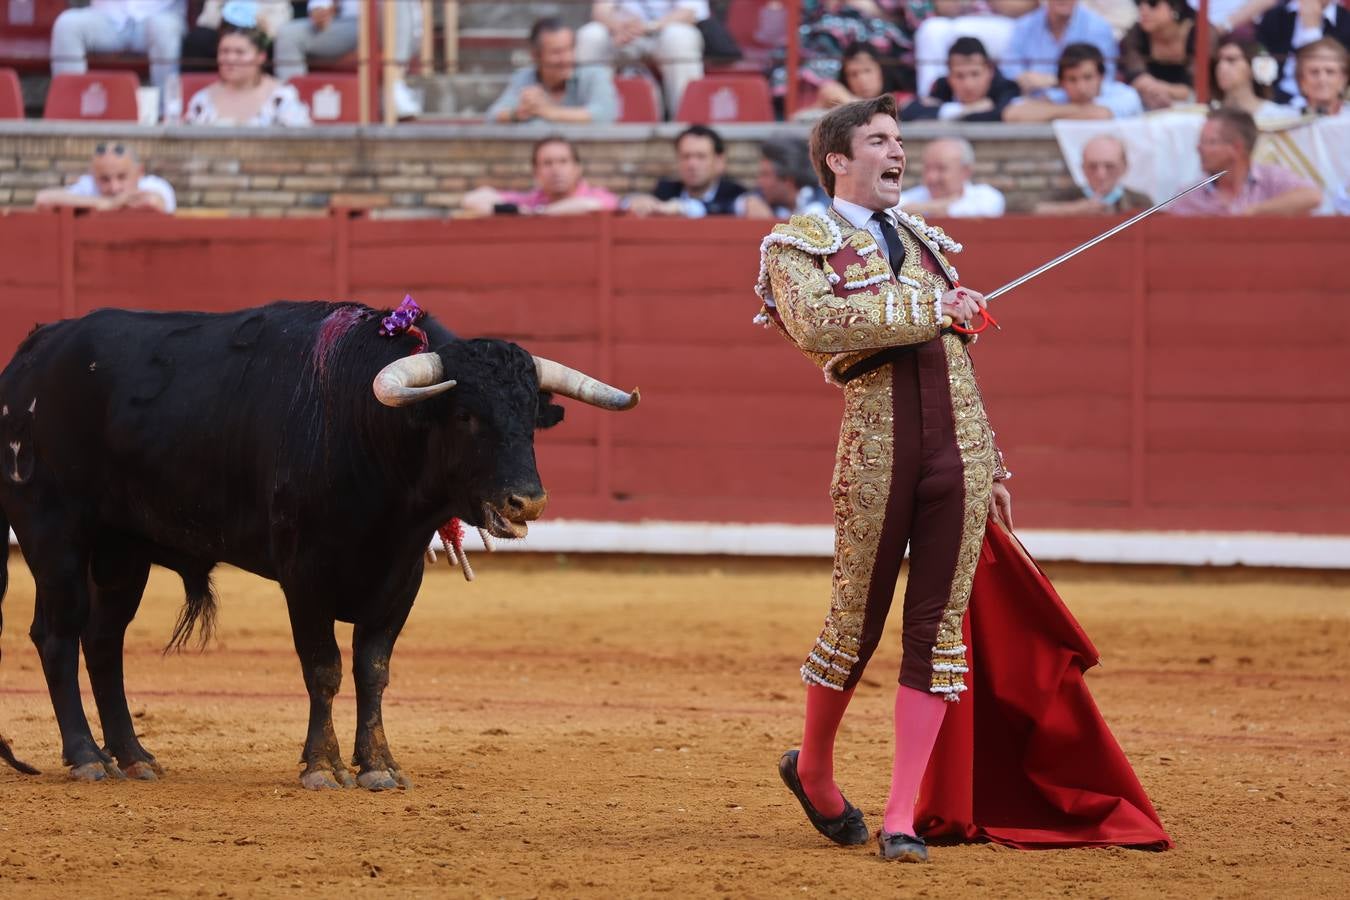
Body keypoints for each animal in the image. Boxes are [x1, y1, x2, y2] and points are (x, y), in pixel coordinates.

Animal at [0, 300, 637, 788]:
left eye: (530, 417)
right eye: (465, 416)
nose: (526, 502)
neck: (363, 425)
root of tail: (33, 353)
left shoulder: (401, 577)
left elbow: (373, 668)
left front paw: (379, 766)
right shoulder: (304, 576)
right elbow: (323, 668)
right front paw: (321, 767)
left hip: (122, 551)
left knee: (104, 641)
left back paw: (133, 758)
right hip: (53, 535)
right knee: (58, 636)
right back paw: (87, 758)